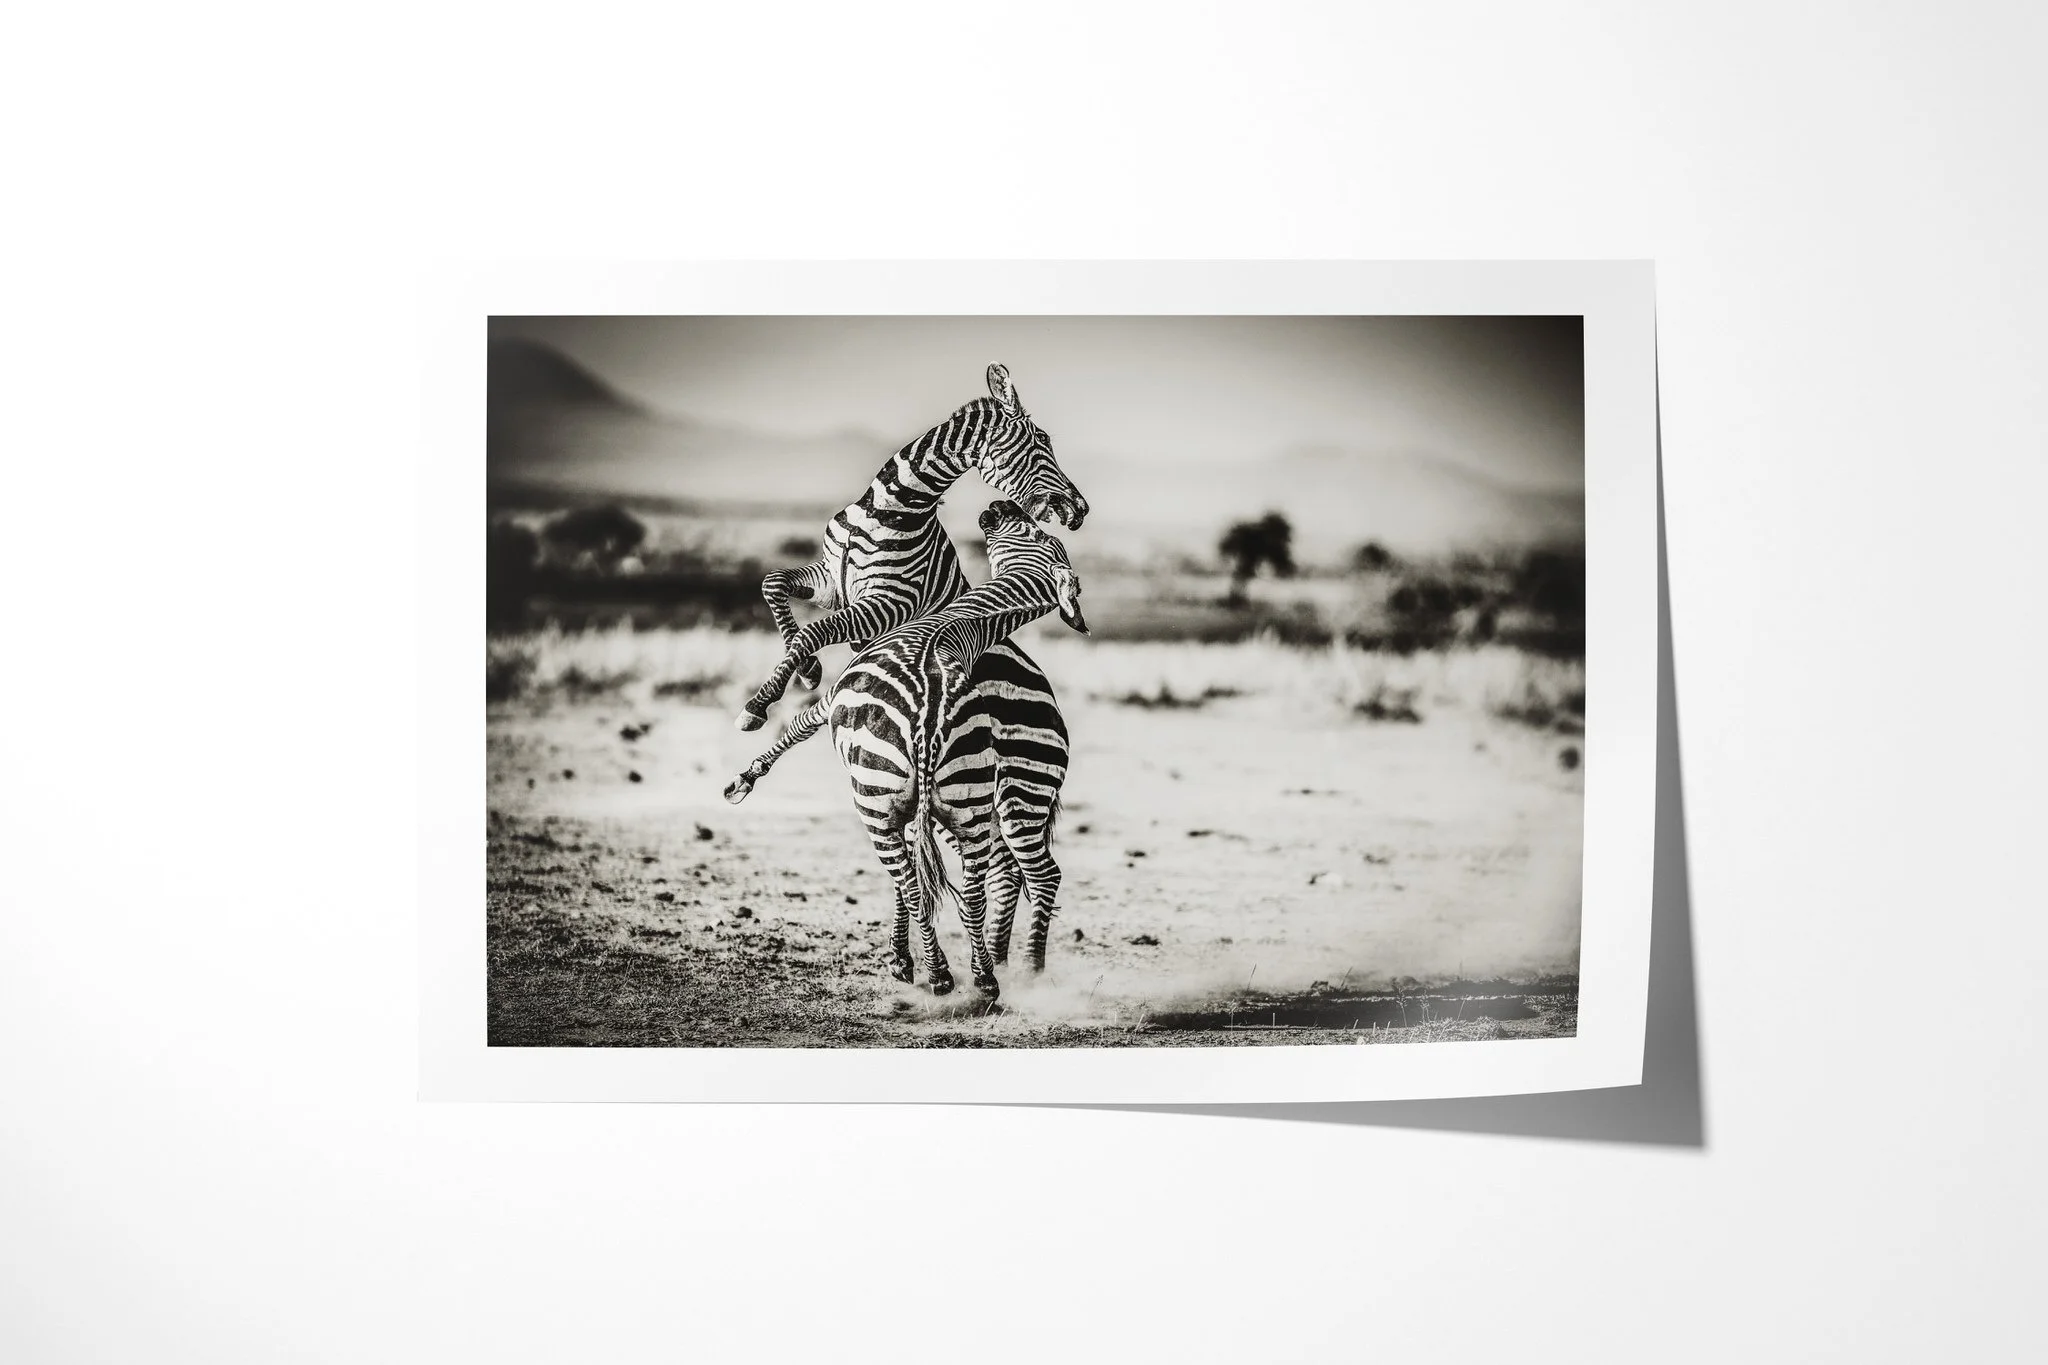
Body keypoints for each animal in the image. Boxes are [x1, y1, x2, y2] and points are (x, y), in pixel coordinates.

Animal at [723, 502, 1088, 998]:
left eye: (1035, 532)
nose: (998, 507)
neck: (955, 624)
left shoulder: (836, 698)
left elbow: (798, 725)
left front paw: (749, 756)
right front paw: (904, 955)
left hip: (916, 803)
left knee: (984, 880)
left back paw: (981, 972)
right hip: (980, 807)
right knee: (992, 879)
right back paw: (990, 969)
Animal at [735, 362, 1087, 733]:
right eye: (1043, 440)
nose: (1081, 509)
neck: (886, 509)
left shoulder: (892, 603)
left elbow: (814, 631)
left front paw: (757, 705)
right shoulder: (832, 582)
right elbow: (773, 583)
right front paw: (808, 670)